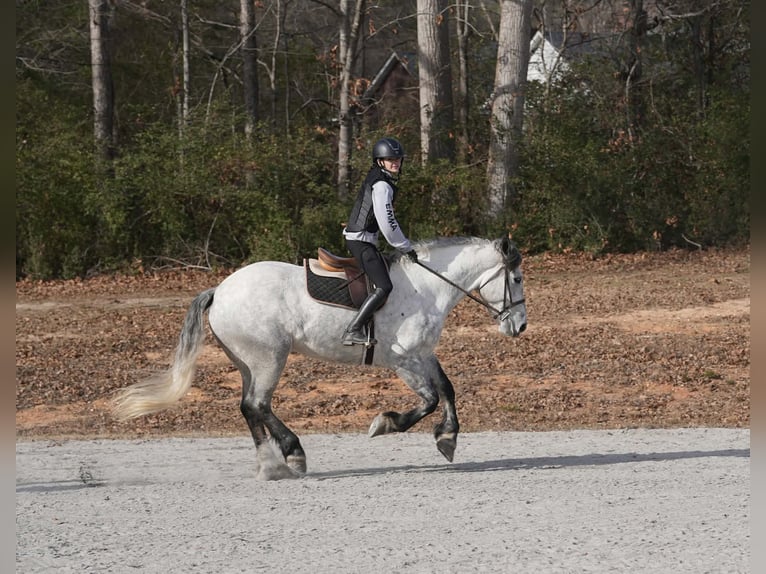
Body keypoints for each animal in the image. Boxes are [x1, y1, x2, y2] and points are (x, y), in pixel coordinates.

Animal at [111, 236, 527, 480]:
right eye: (518, 278)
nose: (520, 326)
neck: (428, 287)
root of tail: (221, 289)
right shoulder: (404, 359)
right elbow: (428, 399)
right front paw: (387, 424)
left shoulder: (423, 354)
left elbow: (447, 389)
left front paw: (448, 438)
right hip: (269, 357)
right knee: (258, 404)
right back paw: (293, 454)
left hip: (248, 362)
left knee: (249, 407)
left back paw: (271, 465)